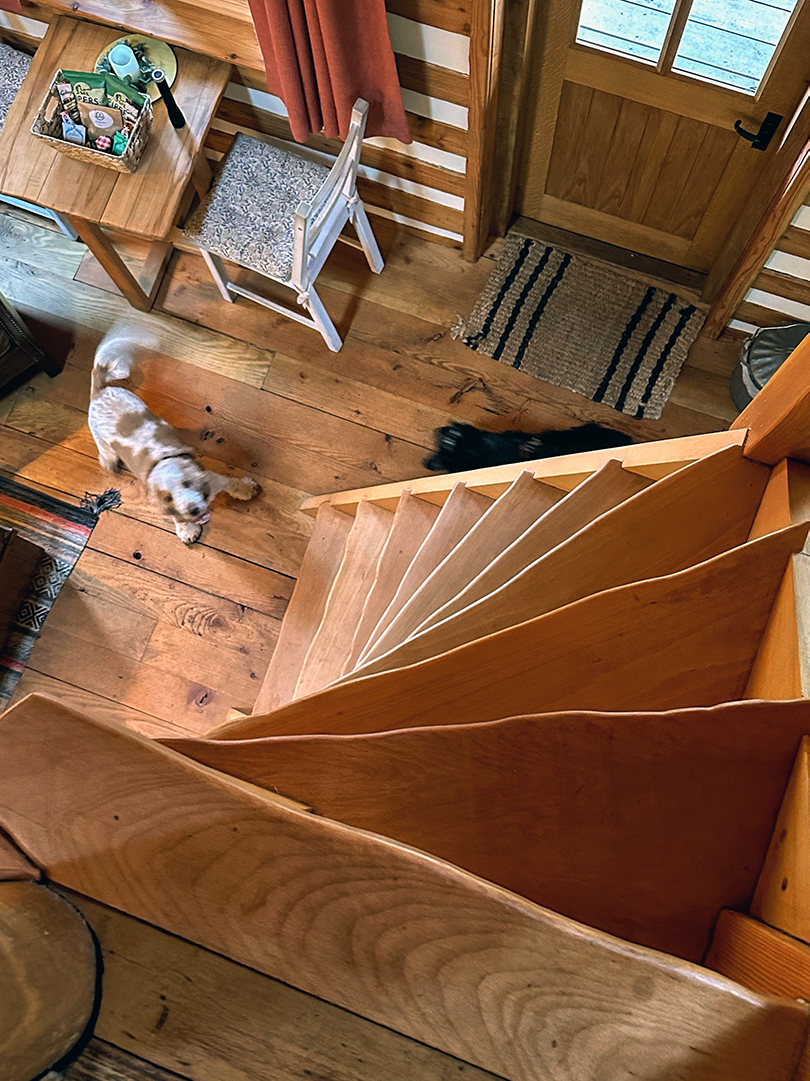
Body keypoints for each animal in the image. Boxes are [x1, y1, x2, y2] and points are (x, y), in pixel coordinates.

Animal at [90, 317, 257, 540]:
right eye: (169, 497)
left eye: (186, 483)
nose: (193, 510)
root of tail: (100, 390)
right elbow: (176, 516)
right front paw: (187, 529)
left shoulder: (213, 478)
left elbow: (233, 483)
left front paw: (247, 488)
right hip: (102, 440)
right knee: (105, 453)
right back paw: (110, 463)